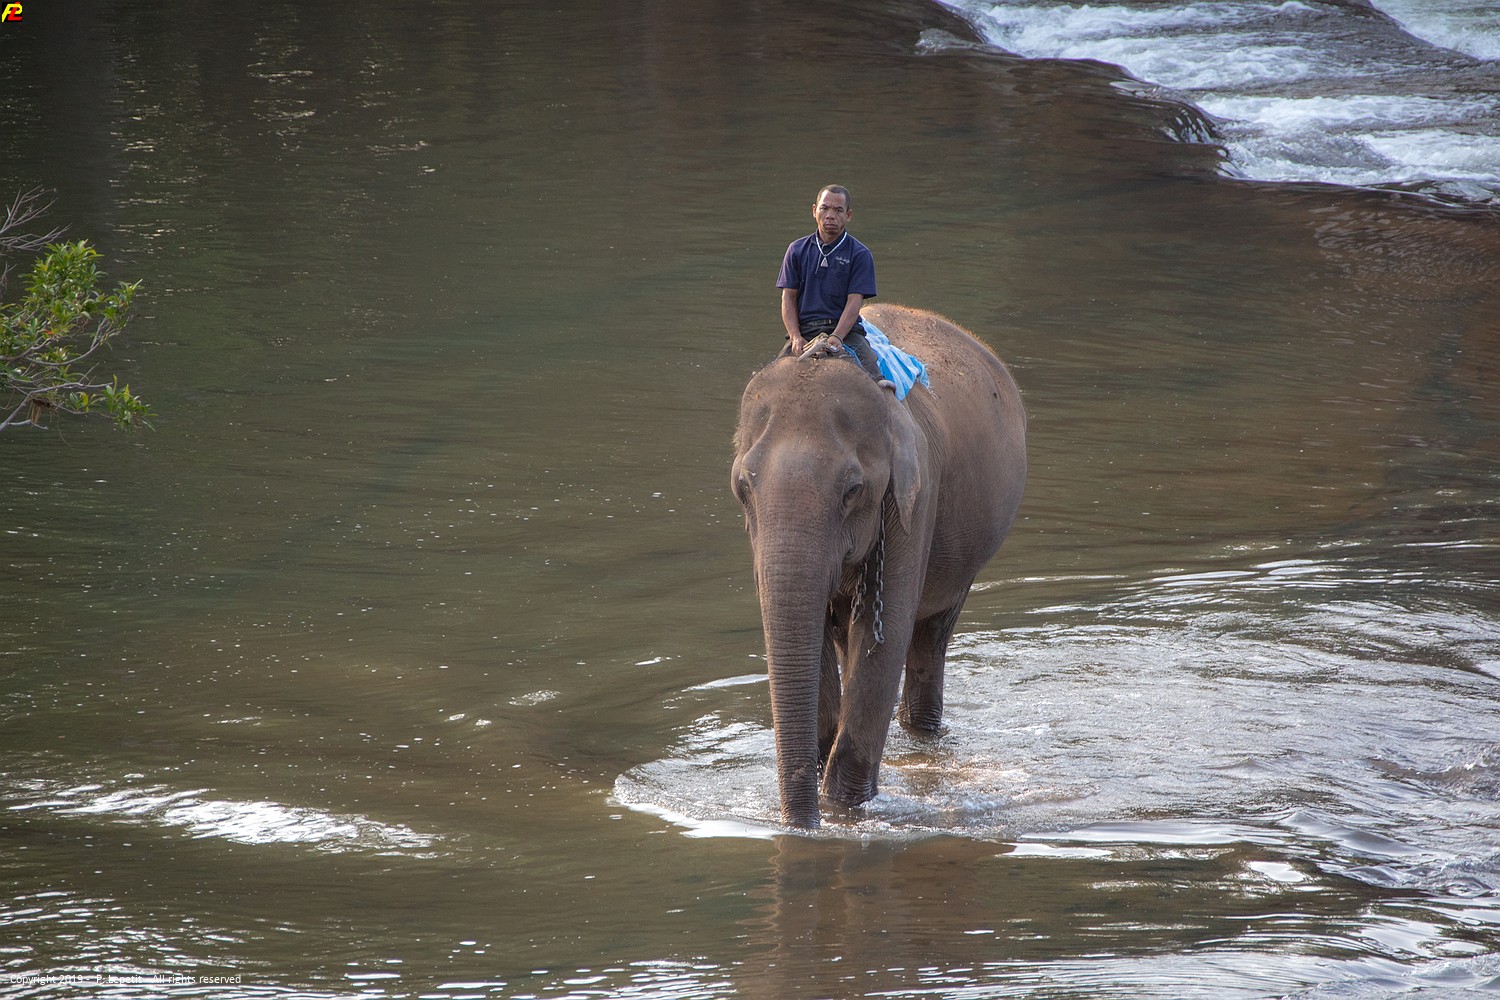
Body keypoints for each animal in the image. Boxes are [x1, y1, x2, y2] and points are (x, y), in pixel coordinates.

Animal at [731, 304, 1027, 829]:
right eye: (743, 487)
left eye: (853, 490)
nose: (802, 827)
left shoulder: (917, 498)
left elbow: (881, 640)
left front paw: (843, 809)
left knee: (930, 633)